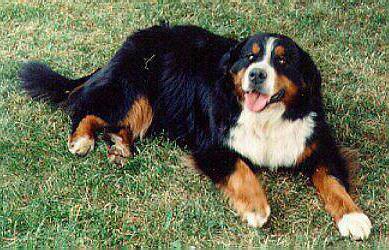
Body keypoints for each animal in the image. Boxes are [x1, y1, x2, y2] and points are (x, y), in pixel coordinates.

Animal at [19, 23, 372, 240]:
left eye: (283, 61)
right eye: (251, 56)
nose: (257, 75)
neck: (266, 118)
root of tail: (129, 42)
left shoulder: (317, 142)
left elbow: (331, 180)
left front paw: (353, 218)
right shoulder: (210, 145)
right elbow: (241, 168)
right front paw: (256, 208)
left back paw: (121, 145)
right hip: (135, 88)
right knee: (86, 107)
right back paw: (82, 139)